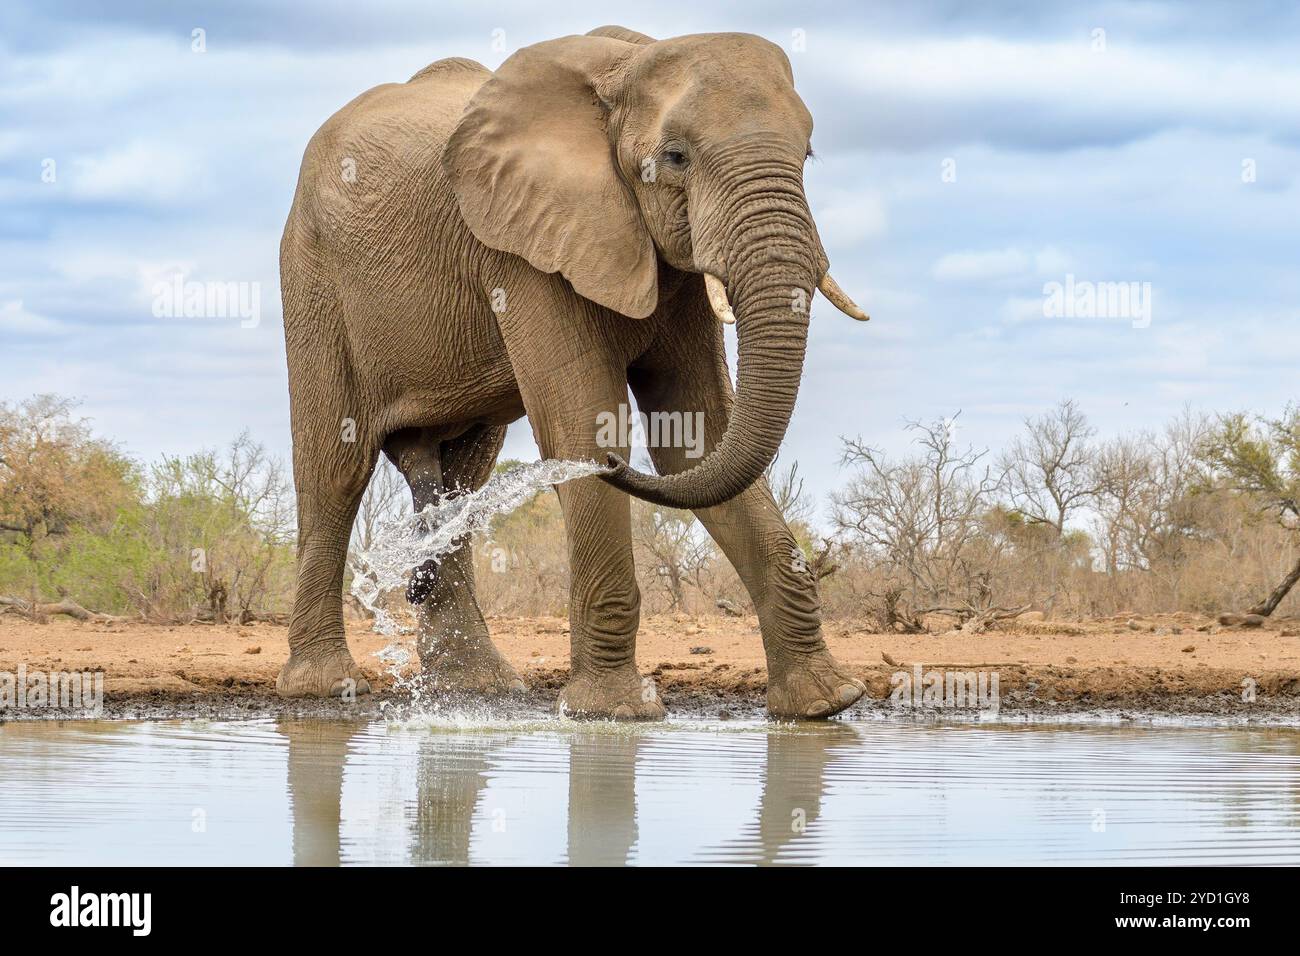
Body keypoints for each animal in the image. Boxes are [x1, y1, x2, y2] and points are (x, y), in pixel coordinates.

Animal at [276, 25, 870, 720]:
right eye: (675, 158)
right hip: (312, 275)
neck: (626, 67)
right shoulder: (525, 250)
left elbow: (696, 441)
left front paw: (824, 705)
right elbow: (586, 428)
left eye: (807, 153)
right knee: (335, 469)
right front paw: (611, 713)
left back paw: (478, 689)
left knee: (465, 474)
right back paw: (325, 689)